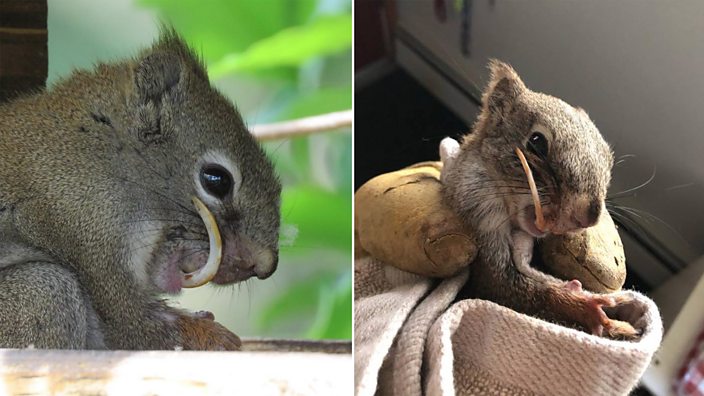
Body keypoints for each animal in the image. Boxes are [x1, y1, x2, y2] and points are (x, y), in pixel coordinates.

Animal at [0, 30, 280, 350]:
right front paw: (217, 338)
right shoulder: (82, 223)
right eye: (216, 180)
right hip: (43, 293)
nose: (265, 264)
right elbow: (134, 322)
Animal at [442, 60, 640, 338]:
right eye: (536, 143)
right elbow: (503, 285)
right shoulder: (478, 213)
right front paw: (588, 308)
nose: (588, 217)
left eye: (608, 161)